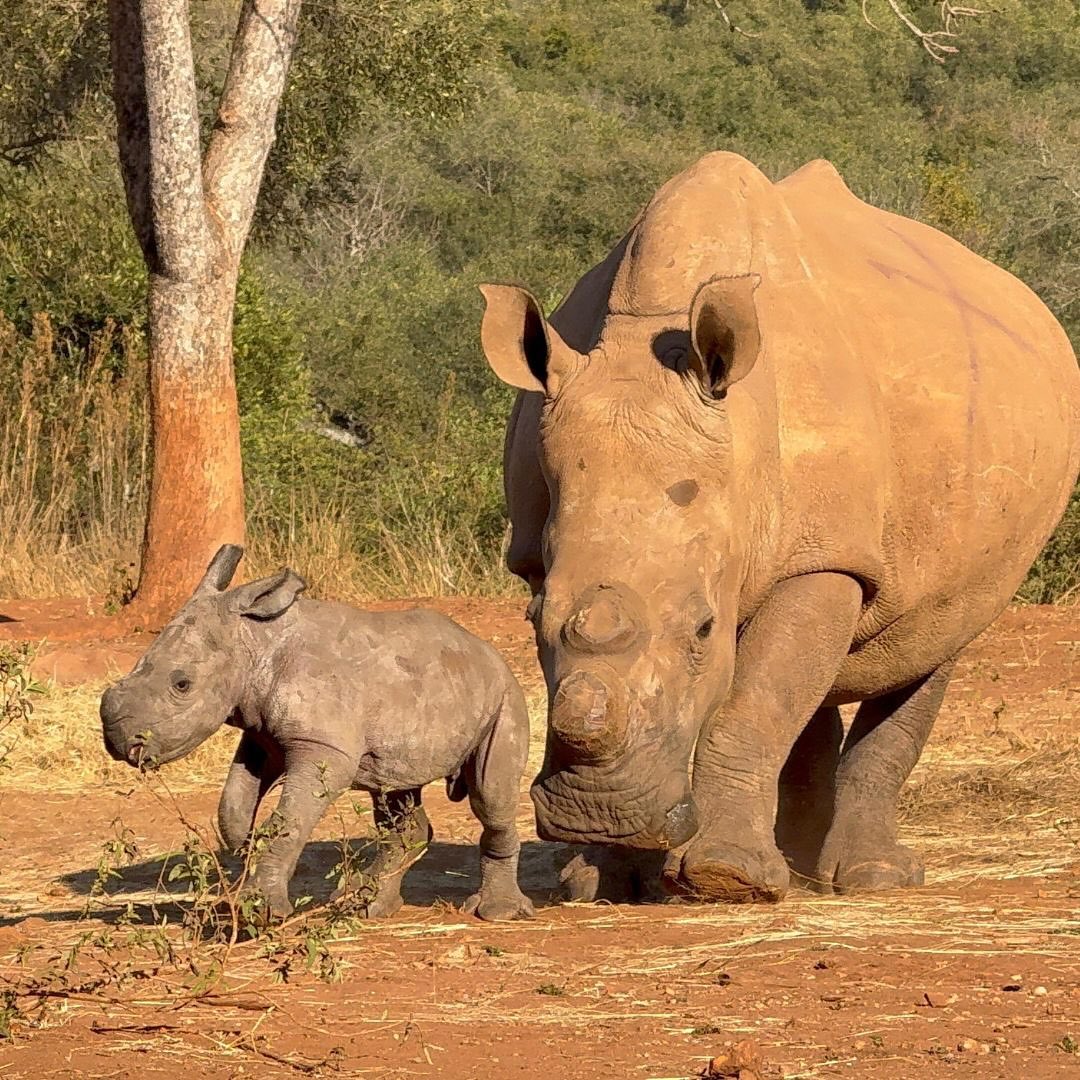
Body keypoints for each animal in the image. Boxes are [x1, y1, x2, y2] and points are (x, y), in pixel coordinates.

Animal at [100, 545, 535, 921]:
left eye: (182, 684)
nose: (118, 742)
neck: (255, 640)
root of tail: (488, 651)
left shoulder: (322, 746)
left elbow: (288, 819)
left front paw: (261, 913)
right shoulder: (261, 737)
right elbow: (233, 807)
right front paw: (247, 846)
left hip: (505, 696)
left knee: (490, 797)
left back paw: (496, 913)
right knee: (395, 788)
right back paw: (366, 907)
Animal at [478, 152, 1080, 903]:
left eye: (704, 630)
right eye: (533, 620)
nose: (598, 812)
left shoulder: (824, 555)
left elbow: (756, 700)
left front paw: (723, 880)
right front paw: (603, 880)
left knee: (936, 639)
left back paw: (869, 878)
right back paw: (798, 869)